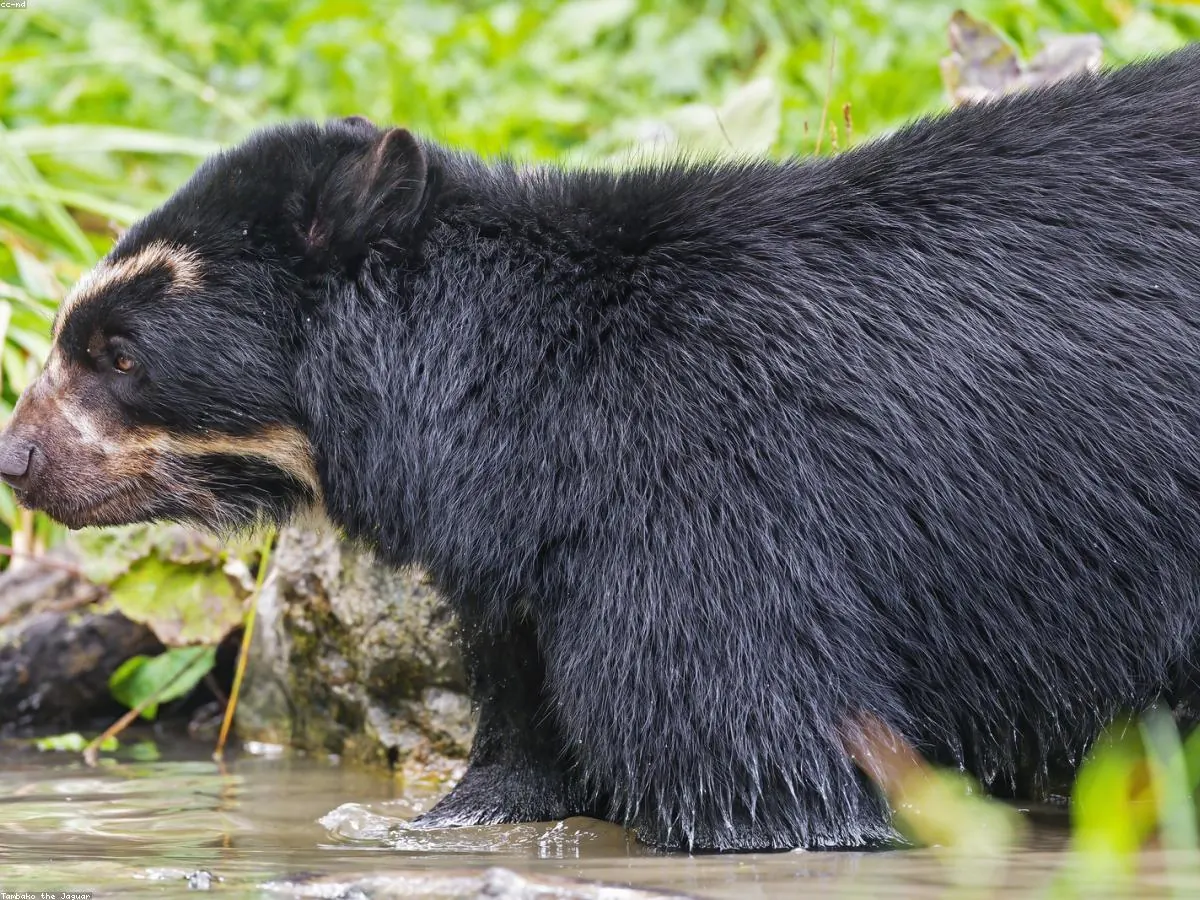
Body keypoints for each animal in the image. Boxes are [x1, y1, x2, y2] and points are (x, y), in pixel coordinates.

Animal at [4, 47, 1200, 852]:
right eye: (73, 332)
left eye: (118, 351)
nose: (15, 459)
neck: (514, 420)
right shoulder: (536, 579)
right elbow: (526, 753)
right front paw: (444, 818)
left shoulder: (710, 502)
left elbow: (749, 757)